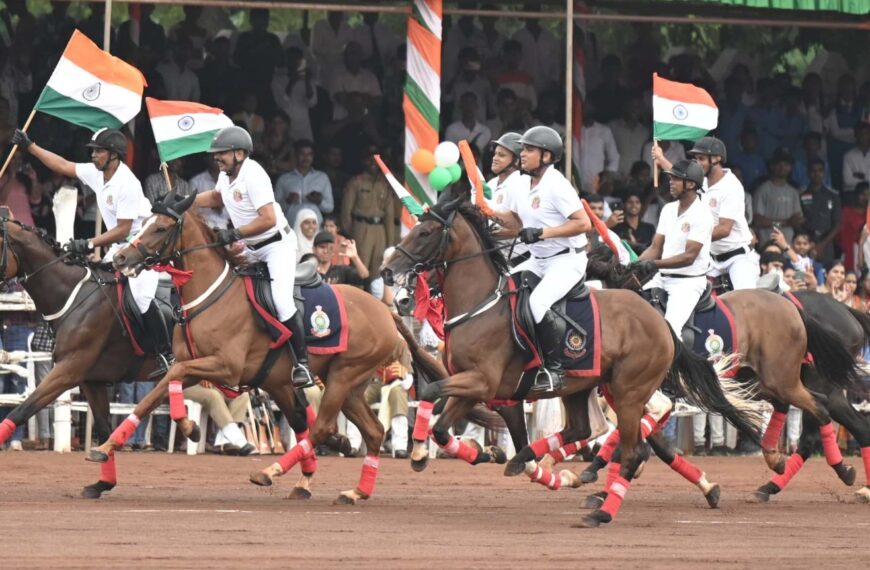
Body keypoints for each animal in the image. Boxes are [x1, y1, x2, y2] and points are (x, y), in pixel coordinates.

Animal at [0, 215, 164, 494]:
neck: (73, 296)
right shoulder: (91, 379)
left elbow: (21, 410)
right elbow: (104, 426)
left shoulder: (69, 370)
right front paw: (103, 483)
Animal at [87, 192, 398, 502]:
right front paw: (106, 446)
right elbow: (154, 395)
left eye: (160, 228)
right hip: (347, 388)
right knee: (373, 431)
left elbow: (174, 377)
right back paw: (354, 490)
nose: (120, 257)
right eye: (143, 224)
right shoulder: (193, 365)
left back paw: (270, 471)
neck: (208, 297)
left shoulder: (226, 367)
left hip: (343, 376)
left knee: (322, 427)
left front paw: (189, 427)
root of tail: (385, 310)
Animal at [382, 192, 764, 528]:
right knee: (585, 430)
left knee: (634, 449)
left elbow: (430, 392)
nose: (388, 274)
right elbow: (444, 427)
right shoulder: (483, 389)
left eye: (425, 233)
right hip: (583, 387)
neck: (481, 305)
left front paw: (423, 453)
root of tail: (660, 321)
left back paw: (601, 510)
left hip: (628, 391)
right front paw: (484, 453)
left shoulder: (481, 381)